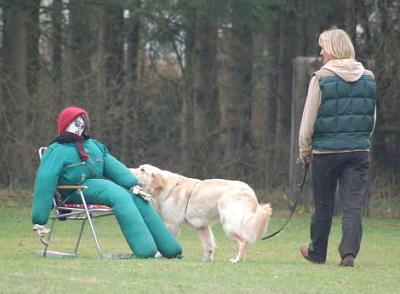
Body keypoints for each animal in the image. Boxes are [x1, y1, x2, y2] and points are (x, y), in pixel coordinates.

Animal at [131, 164, 272, 262]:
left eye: (142, 170)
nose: (129, 169)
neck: (166, 188)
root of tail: (249, 191)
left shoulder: (172, 224)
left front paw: (158, 255)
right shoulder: (202, 227)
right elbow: (209, 244)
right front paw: (207, 259)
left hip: (229, 223)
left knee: (243, 241)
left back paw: (237, 260)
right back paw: (235, 258)